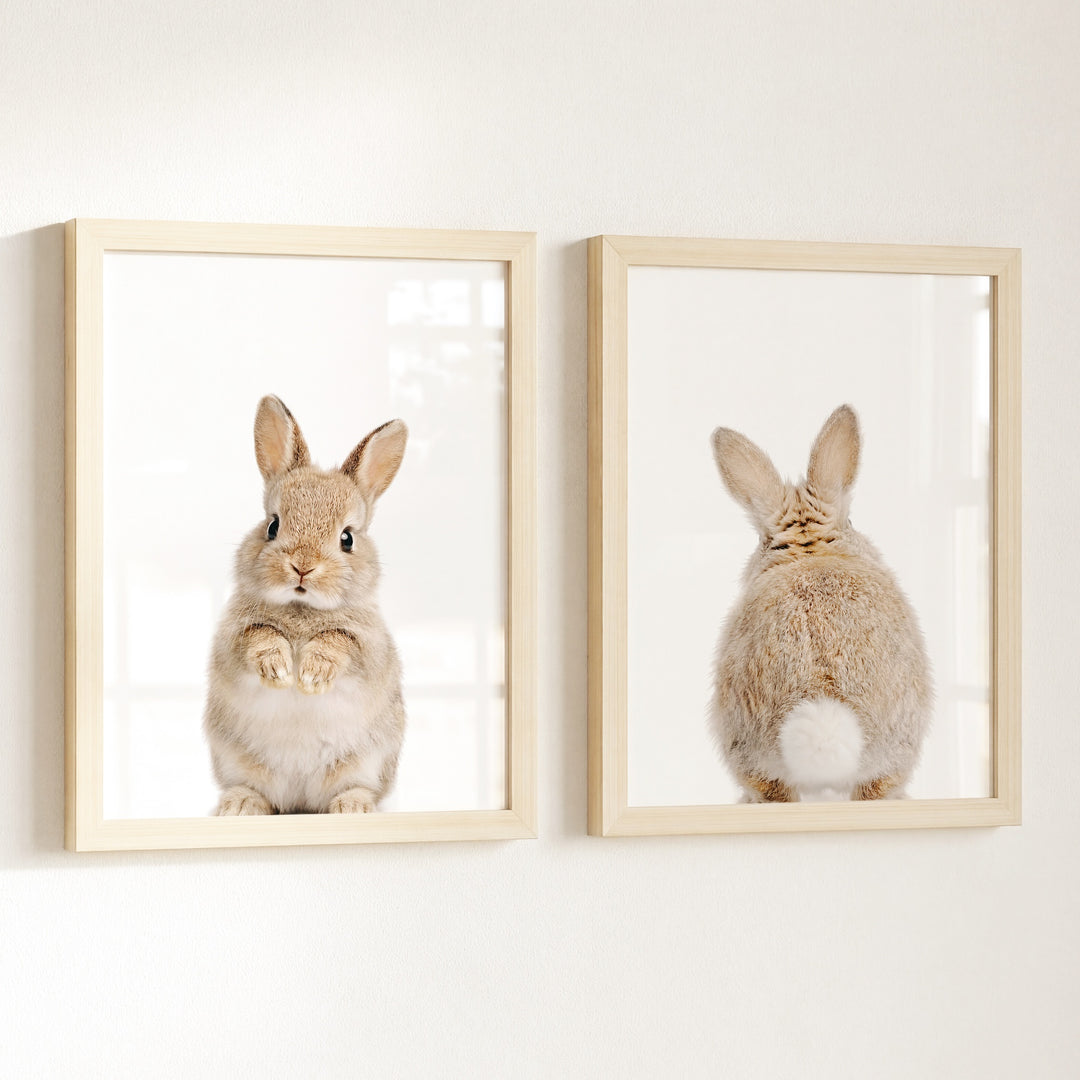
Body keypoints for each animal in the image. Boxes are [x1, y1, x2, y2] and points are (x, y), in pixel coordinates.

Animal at [203, 394, 408, 815]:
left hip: (367, 762)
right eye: (272, 526)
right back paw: (240, 805)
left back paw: (353, 807)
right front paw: (280, 671)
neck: (302, 609)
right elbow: (260, 637)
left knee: (355, 788)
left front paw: (311, 676)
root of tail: (300, 802)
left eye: (347, 538)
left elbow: (338, 642)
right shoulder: (234, 639)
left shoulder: (368, 646)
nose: (302, 566)